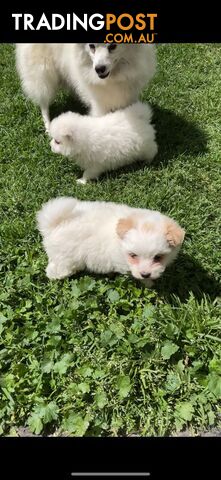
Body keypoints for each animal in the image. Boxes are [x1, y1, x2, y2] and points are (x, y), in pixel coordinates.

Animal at [15, 42, 156, 129]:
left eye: (113, 46)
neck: (113, 77)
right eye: (91, 46)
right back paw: (48, 126)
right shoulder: (99, 104)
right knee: (44, 101)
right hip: (43, 74)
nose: (99, 69)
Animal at [36, 196, 185, 284]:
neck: (119, 241)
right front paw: (148, 283)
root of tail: (54, 225)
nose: (145, 274)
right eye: (133, 255)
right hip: (65, 258)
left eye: (158, 257)